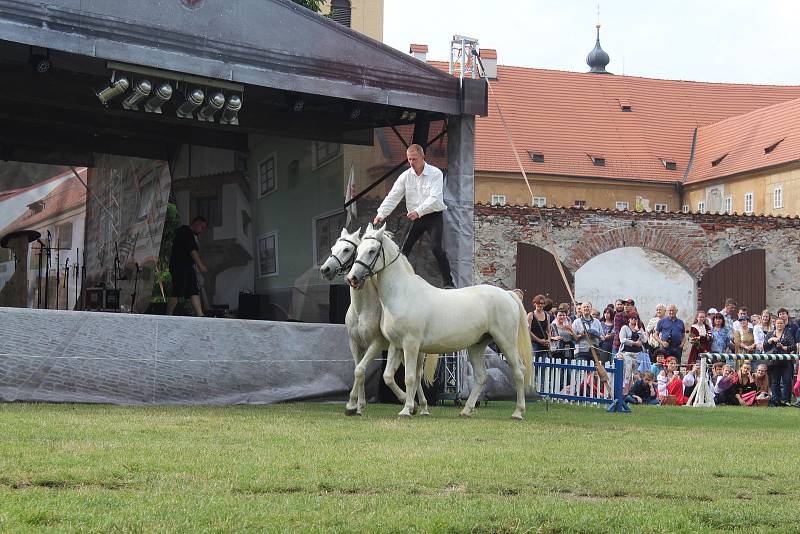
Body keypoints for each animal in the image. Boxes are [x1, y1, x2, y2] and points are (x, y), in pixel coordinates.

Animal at [318, 228, 432, 416]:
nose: (325, 269)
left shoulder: (376, 344)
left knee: (417, 374)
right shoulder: (356, 344)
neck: (362, 309)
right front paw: (357, 406)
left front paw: (353, 404)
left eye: (347, 250)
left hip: (417, 350)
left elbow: (361, 370)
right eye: (333, 248)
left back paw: (421, 406)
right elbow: (359, 370)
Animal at [344, 224, 532, 420]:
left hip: (506, 342)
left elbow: (409, 377)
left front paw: (407, 409)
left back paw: (518, 412)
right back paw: (466, 411)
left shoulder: (410, 344)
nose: (353, 278)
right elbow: (388, 376)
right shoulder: (396, 345)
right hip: (478, 345)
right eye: (357, 250)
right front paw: (412, 406)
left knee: (519, 371)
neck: (402, 293)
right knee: (481, 377)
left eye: (372, 250)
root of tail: (508, 295)